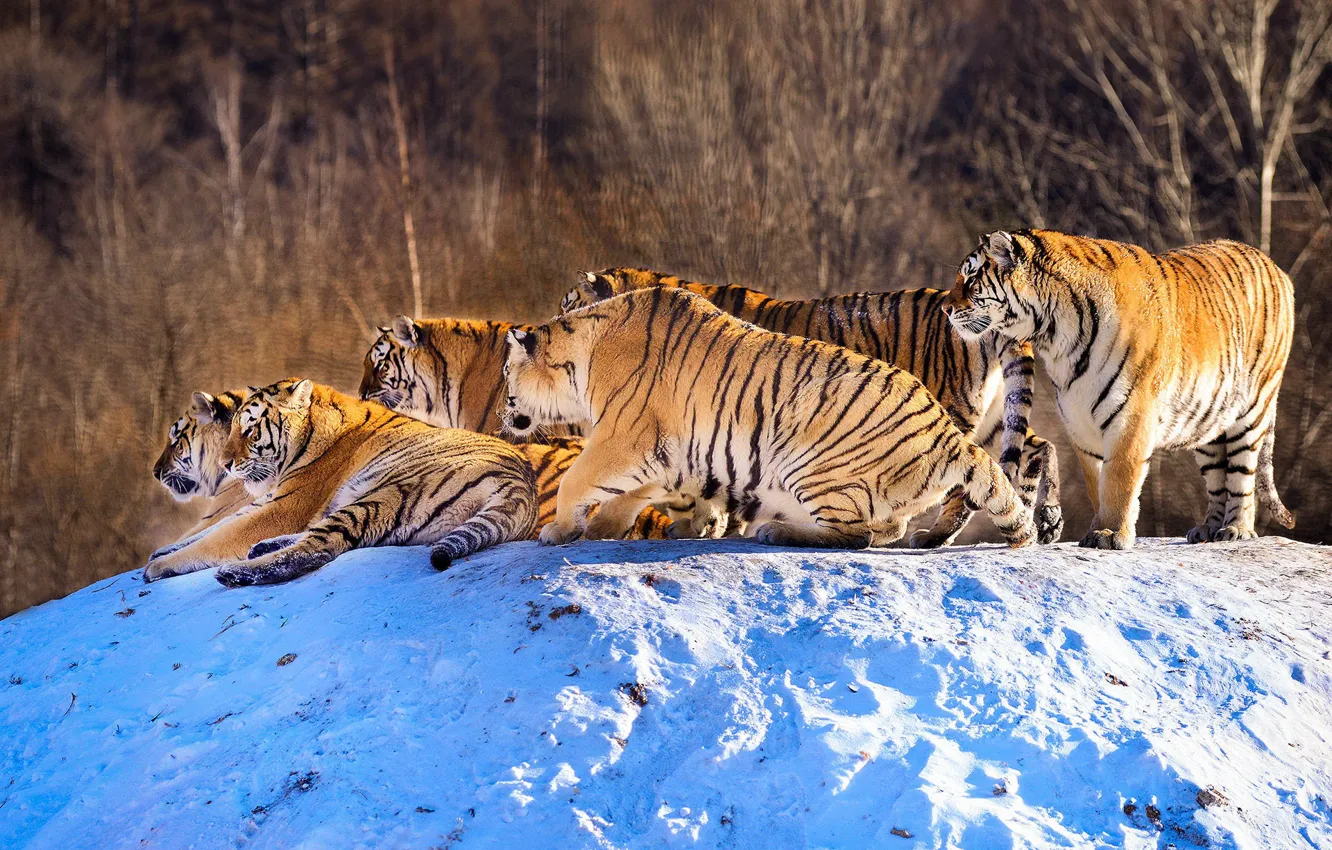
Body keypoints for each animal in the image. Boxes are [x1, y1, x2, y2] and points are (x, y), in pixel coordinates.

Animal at [502, 287, 1037, 550]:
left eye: (506, 371)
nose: (505, 411)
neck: (583, 355)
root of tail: (948, 434)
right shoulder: (664, 451)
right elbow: (634, 494)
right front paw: (604, 528)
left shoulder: (624, 436)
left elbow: (575, 480)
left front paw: (559, 531)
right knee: (886, 529)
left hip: (811, 465)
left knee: (857, 534)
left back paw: (777, 531)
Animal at [944, 229, 1296, 550]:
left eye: (971, 279)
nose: (946, 309)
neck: (1055, 336)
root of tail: (1274, 266)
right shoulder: (1079, 420)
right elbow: (1095, 482)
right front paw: (1096, 529)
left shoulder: (1131, 414)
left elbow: (1119, 478)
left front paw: (1109, 533)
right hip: (1209, 420)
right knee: (1218, 474)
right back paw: (1207, 529)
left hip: (1251, 408)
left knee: (1241, 473)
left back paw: (1236, 528)